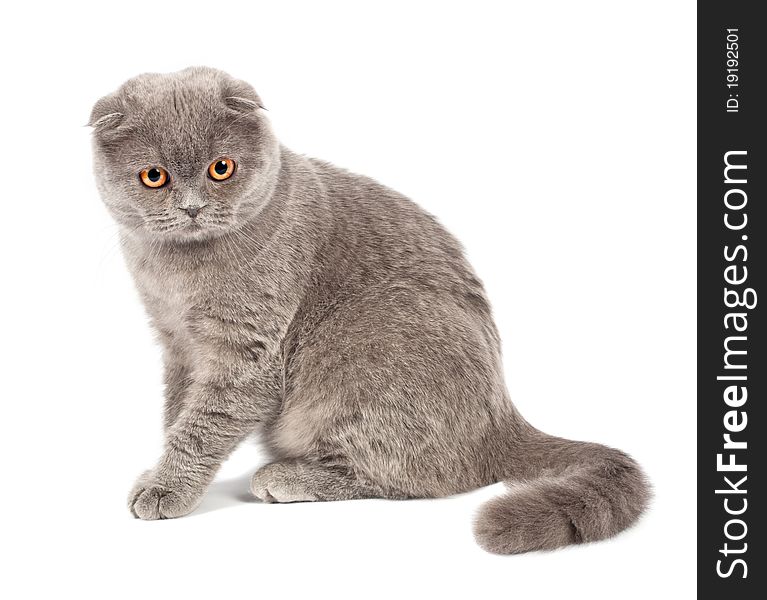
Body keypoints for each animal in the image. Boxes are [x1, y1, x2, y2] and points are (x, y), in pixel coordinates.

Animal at [91, 65, 656, 552]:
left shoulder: (246, 352)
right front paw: (160, 472)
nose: (192, 207)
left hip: (367, 344)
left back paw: (285, 477)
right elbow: (178, 413)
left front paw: (168, 487)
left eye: (221, 168)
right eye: (154, 177)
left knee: (421, 476)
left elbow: (205, 422)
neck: (178, 274)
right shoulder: (176, 343)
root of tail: (503, 419)